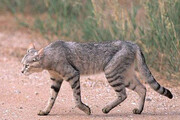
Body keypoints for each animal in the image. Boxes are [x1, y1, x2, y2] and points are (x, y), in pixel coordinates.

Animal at [20, 40, 172, 115]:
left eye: (27, 66)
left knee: (123, 94)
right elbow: (51, 98)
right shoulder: (55, 80)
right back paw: (139, 110)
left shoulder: (73, 74)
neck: (48, 60)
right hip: (125, 75)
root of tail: (133, 44)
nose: (21, 71)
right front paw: (45, 111)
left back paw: (107, 108)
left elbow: (76, 99)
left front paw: (86, 109)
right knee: (142, 88)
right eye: (22, 64)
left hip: (111, 72)